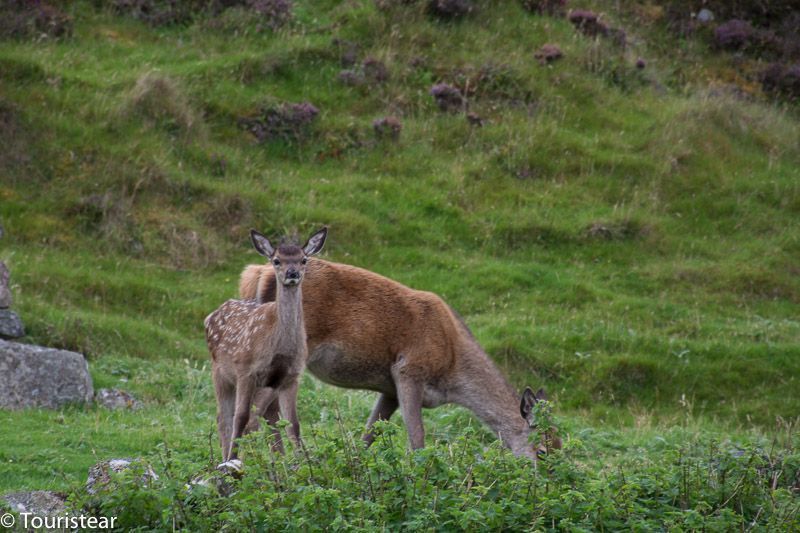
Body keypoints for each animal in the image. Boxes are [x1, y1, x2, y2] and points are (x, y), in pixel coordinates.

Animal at [241, 247, 560, 460]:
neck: (452, 372)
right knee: (260, 410)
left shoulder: (389, 389)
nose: (552, 484)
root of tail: (257, 273)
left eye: (561, 445)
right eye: (542, 450)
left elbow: (370, 434)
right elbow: (417, 438)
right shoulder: (409, 370)